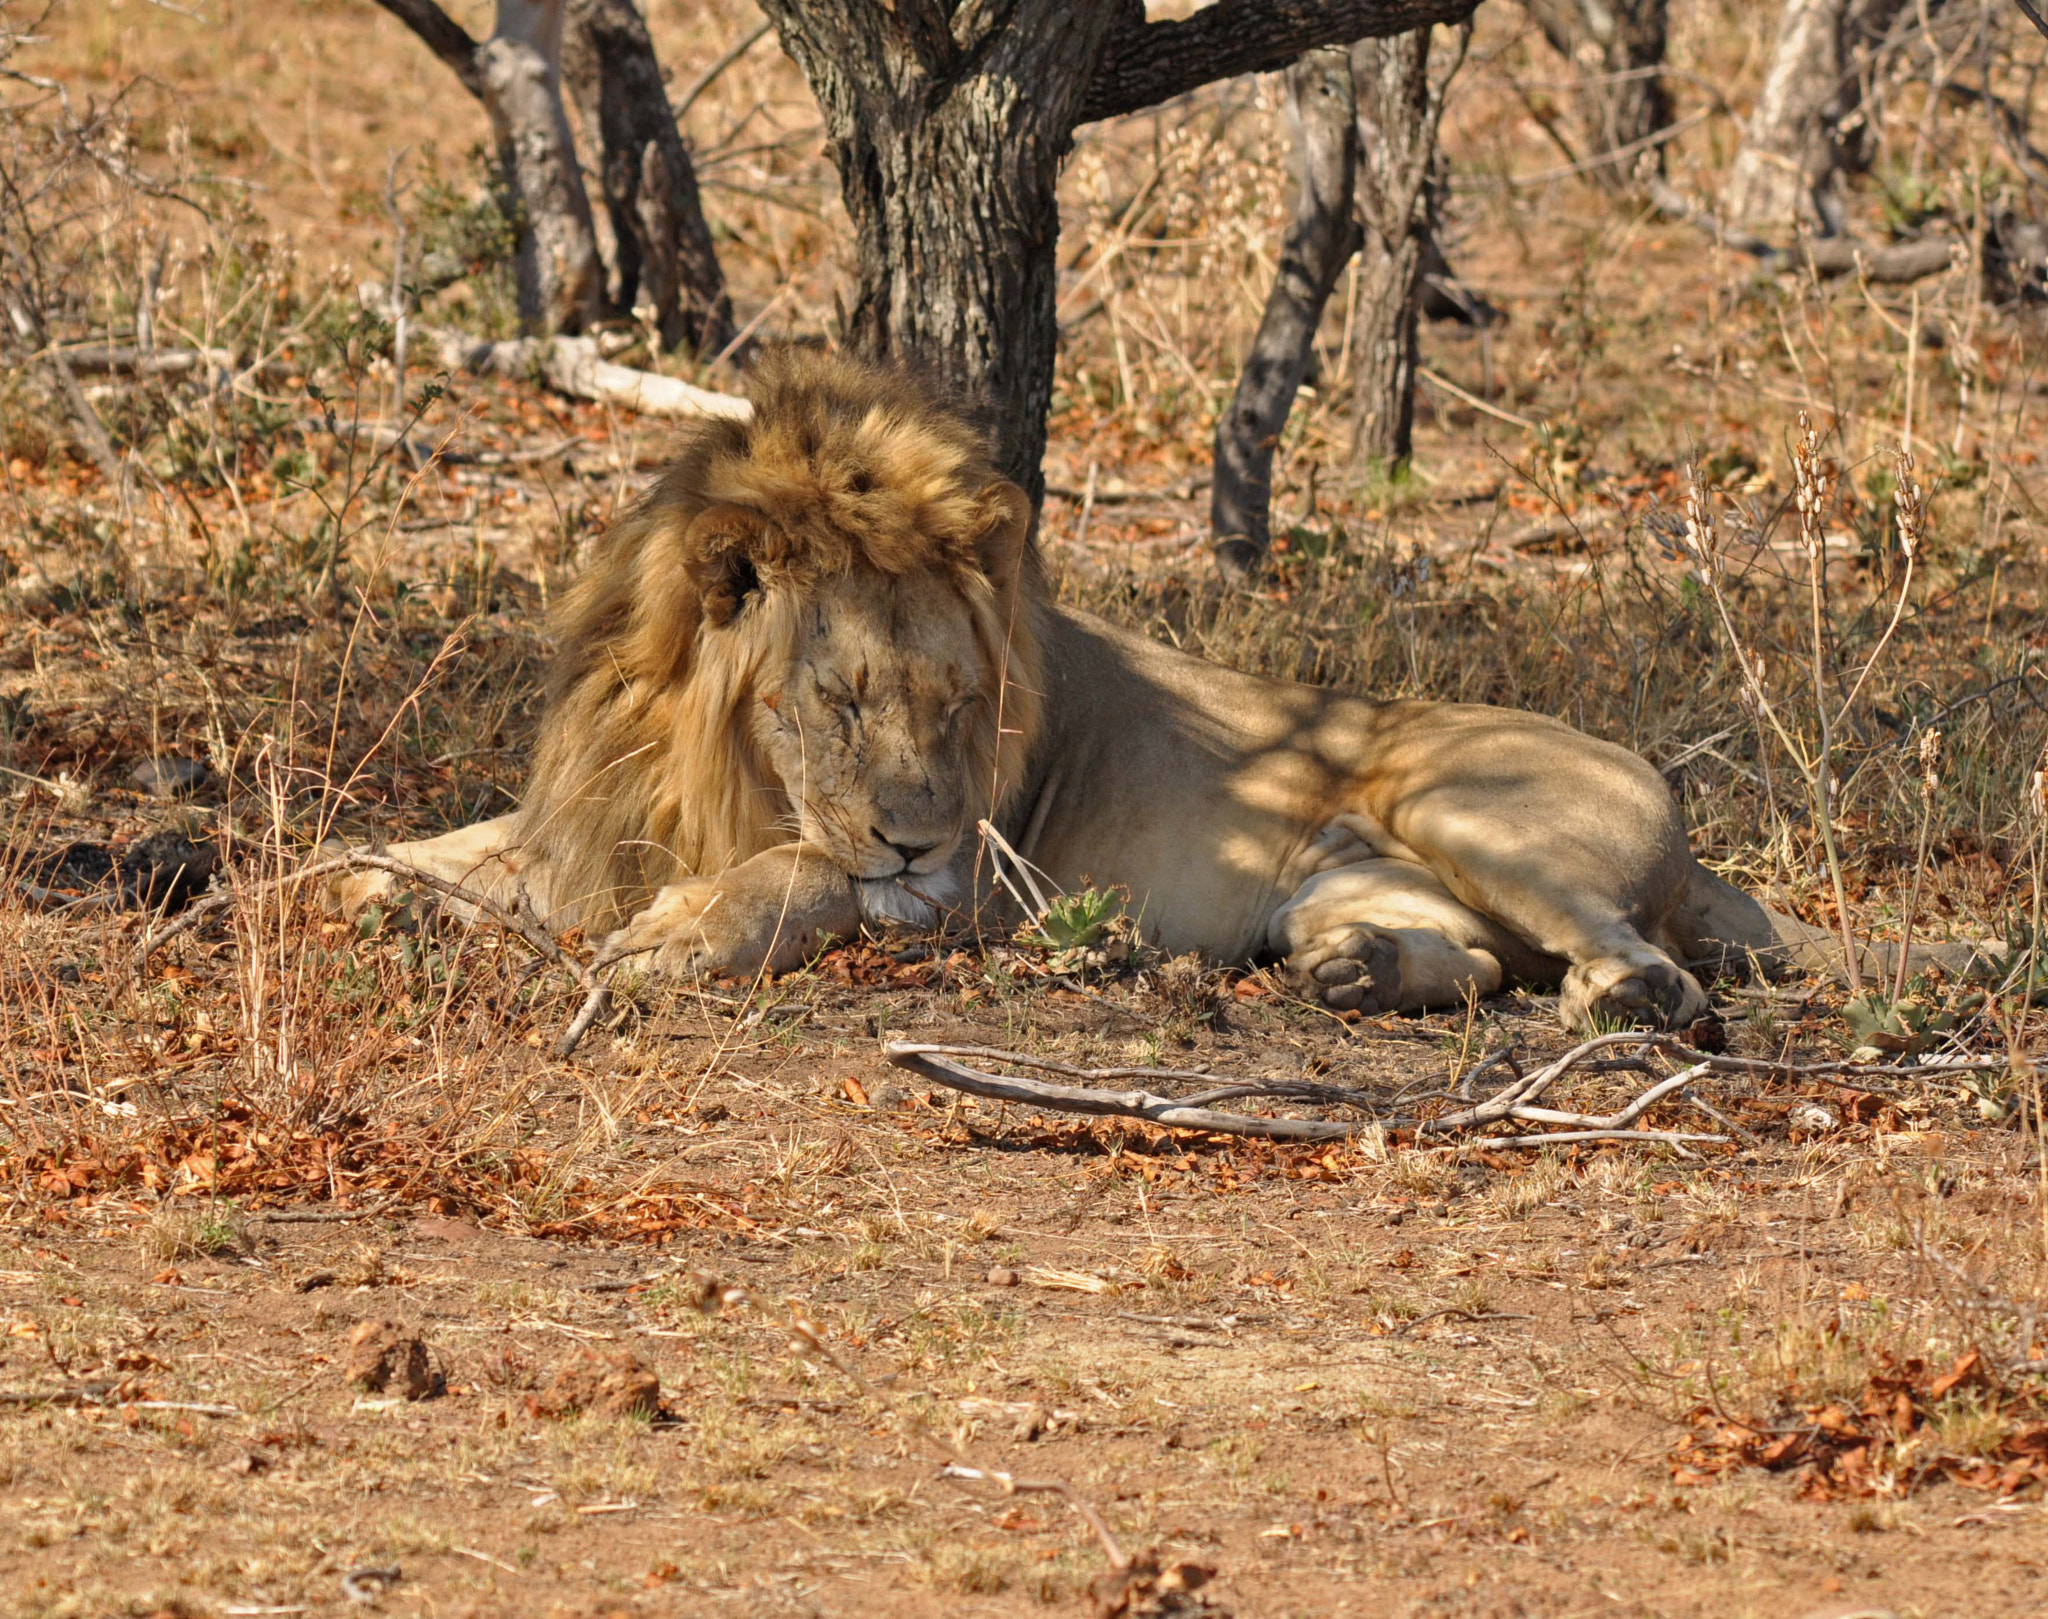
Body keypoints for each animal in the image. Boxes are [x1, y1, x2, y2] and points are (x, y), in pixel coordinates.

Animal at [339, 352, 1884, 1027]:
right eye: (840, 699)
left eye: (956, 701)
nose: (912, 829)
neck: (681, 747)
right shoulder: (572, 823)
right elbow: (396, 858)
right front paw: (309, 891)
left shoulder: (980, 876)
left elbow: (809, 877)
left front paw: (676, 935)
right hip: (1346, 883)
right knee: (1486, 955)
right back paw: (1356, 973)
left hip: (1467, 804)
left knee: (1638, 962)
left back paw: (1615, 1006)